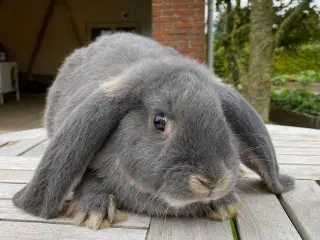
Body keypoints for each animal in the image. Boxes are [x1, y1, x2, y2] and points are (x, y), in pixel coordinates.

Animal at [12, 31, 294, 229]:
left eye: (223, 118)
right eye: (159, 122)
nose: (212, 181)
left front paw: (225, 204)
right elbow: (89, 181)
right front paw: (93, 211)